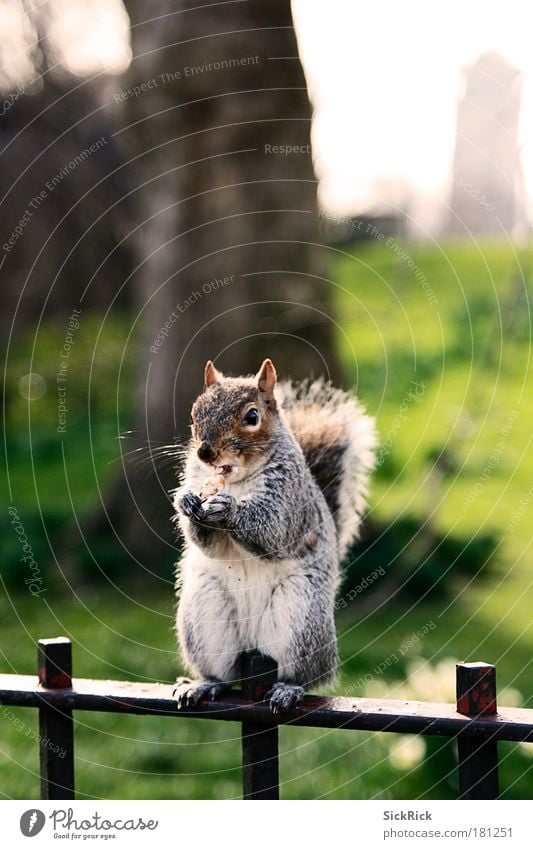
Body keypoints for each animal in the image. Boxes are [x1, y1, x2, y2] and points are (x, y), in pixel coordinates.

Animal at [172, 354, 376, 712]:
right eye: (194, 413)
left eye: (252, 416)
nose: (205, 453)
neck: (236, 481)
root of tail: (251, 645)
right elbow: (207, 544)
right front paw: (187, 501)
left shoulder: (290, 499)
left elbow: (273, 532)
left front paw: (229, 509)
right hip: (204, 618)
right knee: (222, 675)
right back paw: (203, 685)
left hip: (301, 619)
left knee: (307, 674)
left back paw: (288, 689)